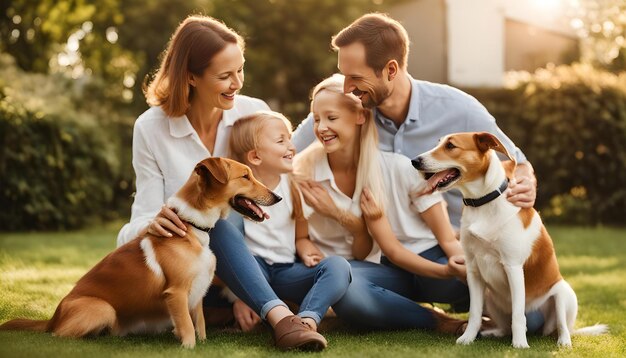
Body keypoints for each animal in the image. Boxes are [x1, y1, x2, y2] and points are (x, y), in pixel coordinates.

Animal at [0, 157, 280, 346]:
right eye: (245, 176)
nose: (277, 197)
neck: (192, 225)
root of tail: (54, 316)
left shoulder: (197, 293)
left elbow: (199, 324)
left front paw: (202, 344)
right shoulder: (177, 293)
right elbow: (188, 328)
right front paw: (189, 347)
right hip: (102, 309)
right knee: (58, 336)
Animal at [410, 131, 604, 346]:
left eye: (451, 146)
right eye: (438, 144)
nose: (414, 161)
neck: (483, 203)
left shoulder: (513, 267)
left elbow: (518, 315)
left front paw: (520, 344)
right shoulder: (473, 270)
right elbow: (475, 314)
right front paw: (467, 338)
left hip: (562, 295)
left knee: (561, 326)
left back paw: (563, 342)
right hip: (490, 298)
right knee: (504, 327)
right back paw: (492, 333)